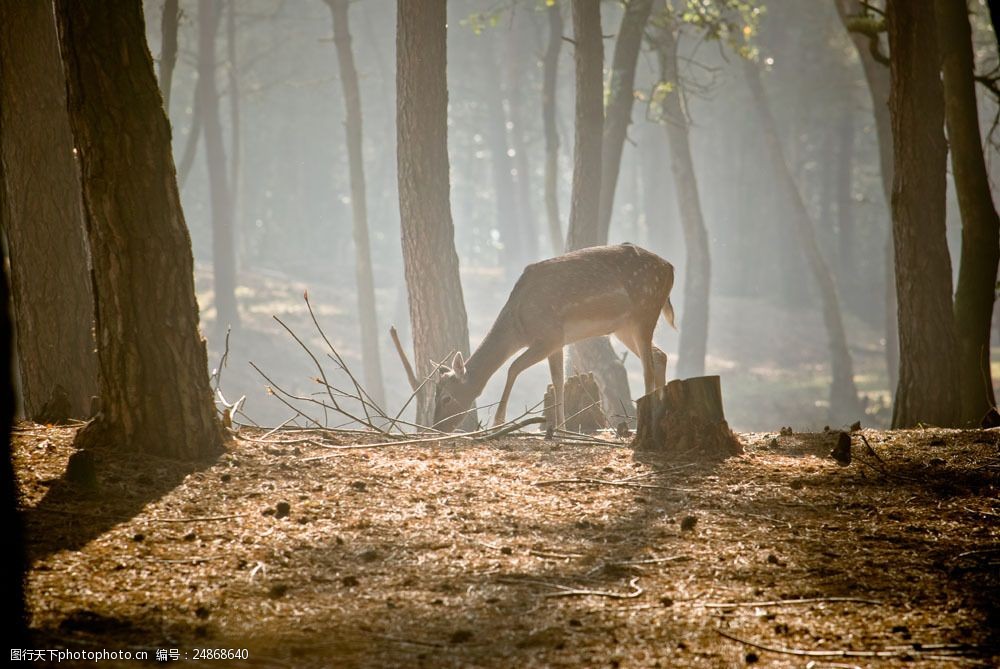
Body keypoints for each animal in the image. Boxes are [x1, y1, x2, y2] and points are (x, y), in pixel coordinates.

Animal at [434, 243, 676, 430]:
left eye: (446, 397)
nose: (436, 427)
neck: (519, 326)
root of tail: (670, 268)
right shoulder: (558, 341)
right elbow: (558, 380)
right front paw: (560, 428)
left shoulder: (548, 336)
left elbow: (513, 367)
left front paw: (498, 423)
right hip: (624, 326)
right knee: (660, 356)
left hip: (645, 309)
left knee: (648, 367)